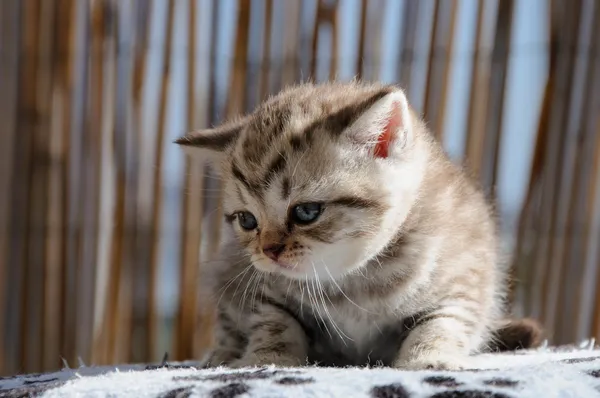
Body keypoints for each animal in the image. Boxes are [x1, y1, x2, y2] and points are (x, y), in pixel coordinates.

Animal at [175, 81, 544, 370]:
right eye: (247, 220)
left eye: (306, 212)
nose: (269, 251)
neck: (353, 280)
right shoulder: (262, 287)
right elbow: (274, 323)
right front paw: (265, 359)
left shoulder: (465, 276)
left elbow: (442, 322)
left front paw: (429, 359)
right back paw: (222, 354)